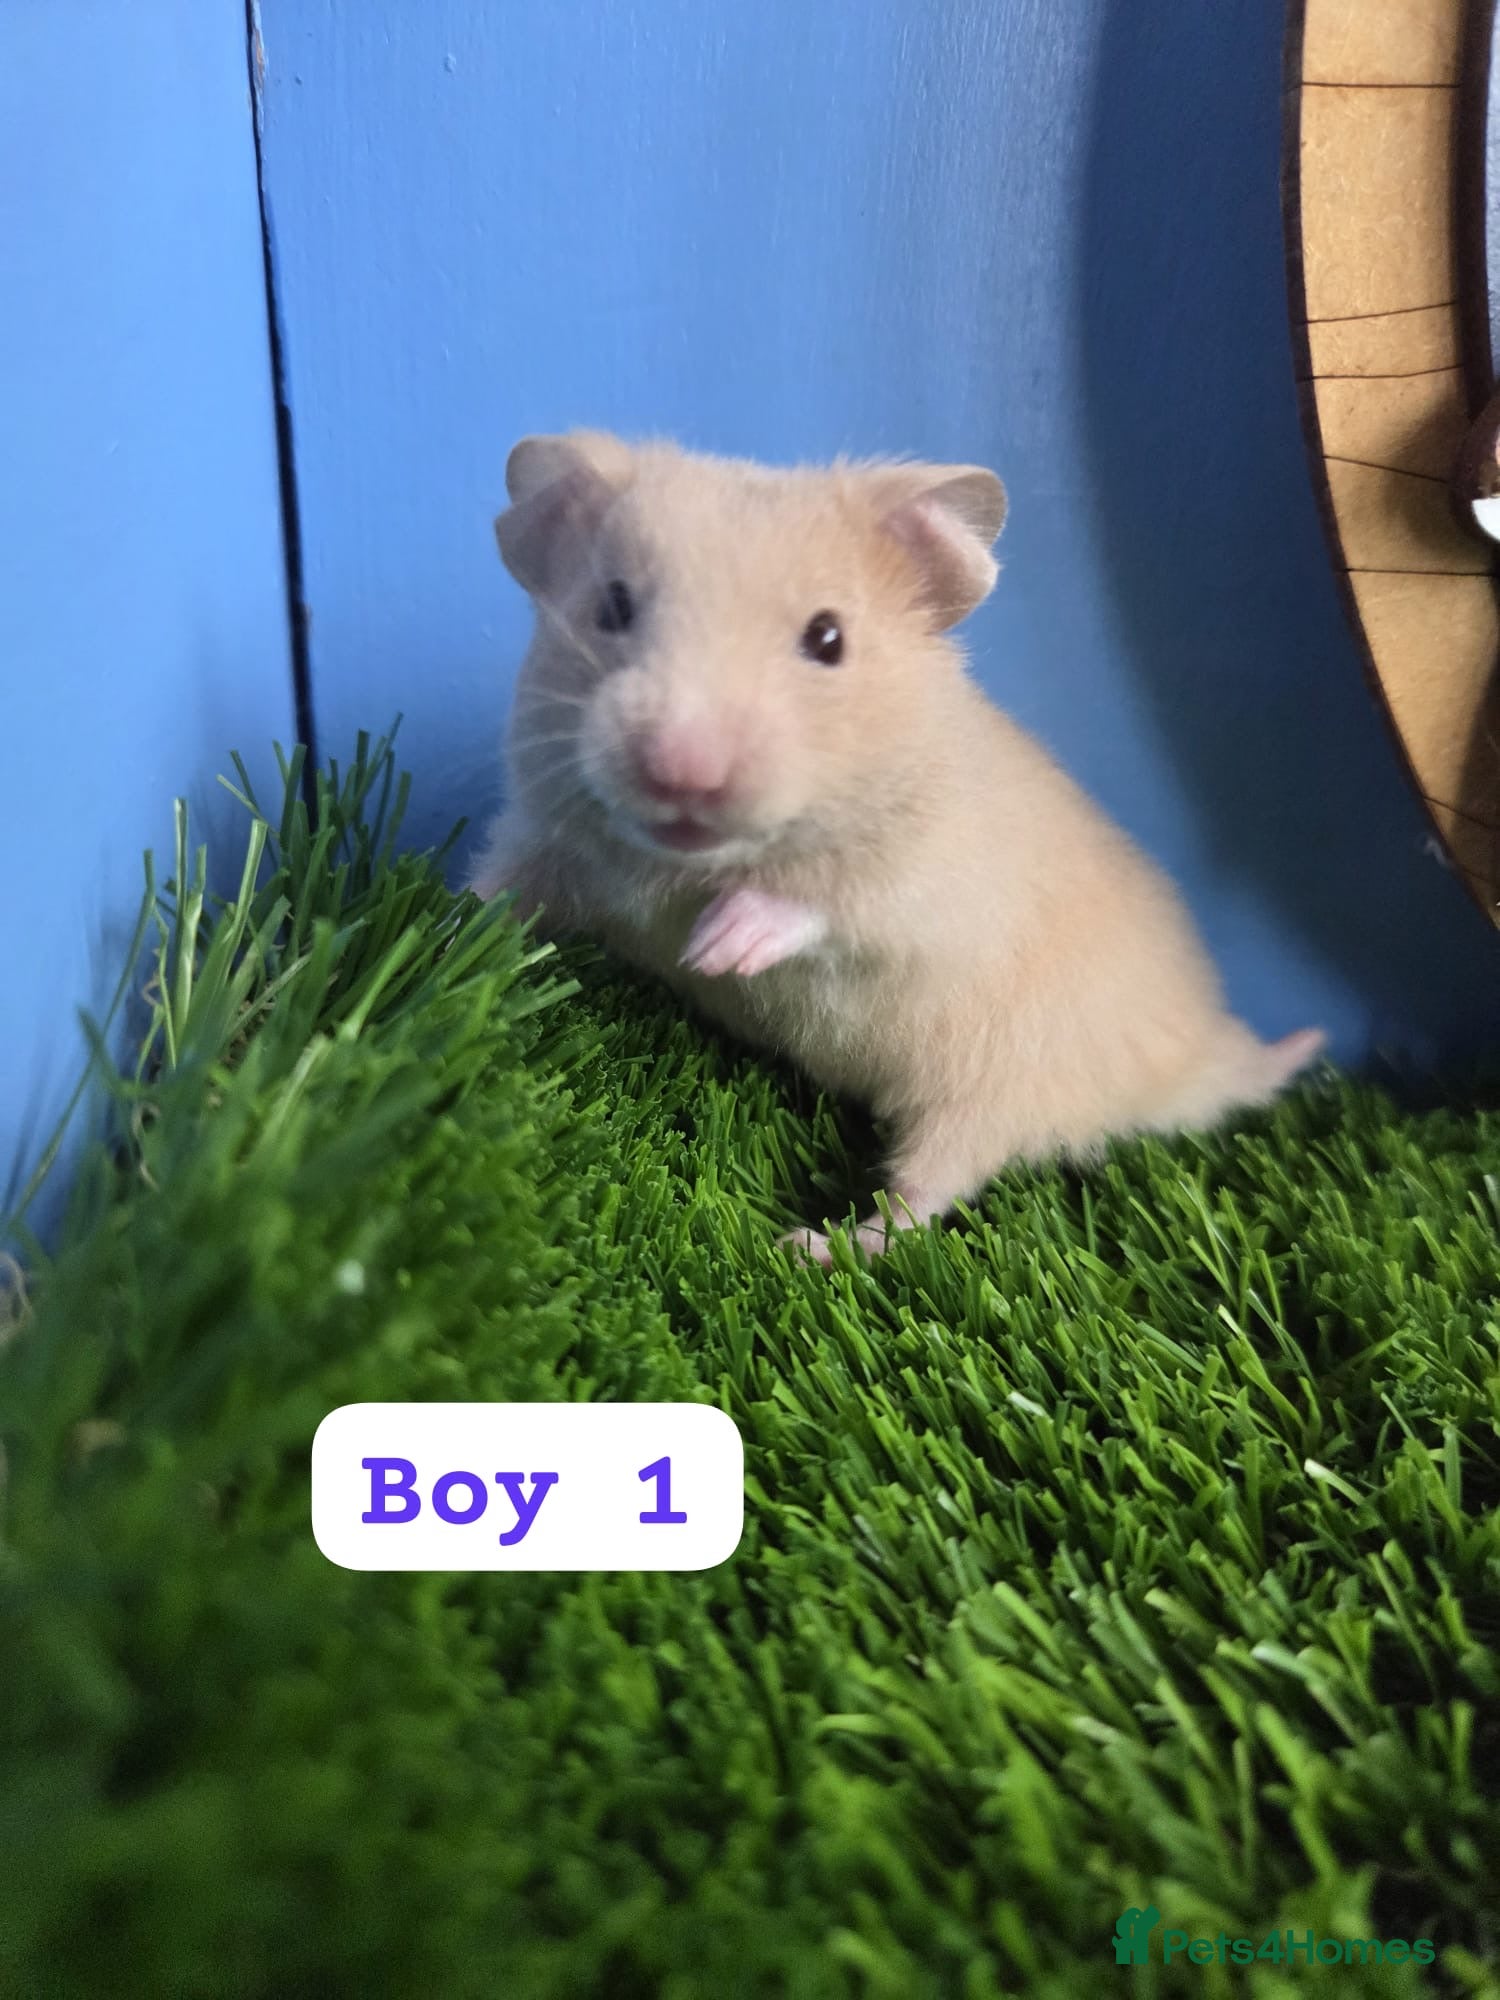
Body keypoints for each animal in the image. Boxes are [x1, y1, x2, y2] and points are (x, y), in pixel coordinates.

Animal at [467, 431, 1324, 1261]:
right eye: (612, 607)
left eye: (828, 639)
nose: (682, 771)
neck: (684, 863)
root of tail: (1195, 1053)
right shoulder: (545, 845)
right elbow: (493, 896)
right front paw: (451, 932)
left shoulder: (927, 885)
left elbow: (829, 902)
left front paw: (716, 946)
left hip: (991, 1084)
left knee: (923, 1196)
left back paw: (816, 1245)